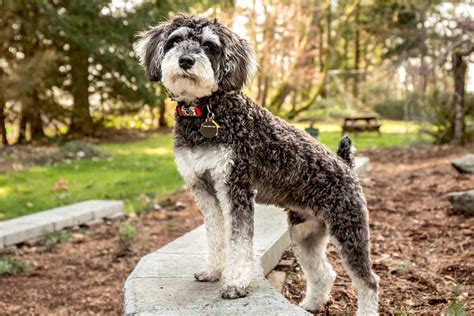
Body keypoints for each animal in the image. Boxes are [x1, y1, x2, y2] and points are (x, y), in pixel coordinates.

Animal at [135, 14, 380, 316]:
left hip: (349, 229)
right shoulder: (204, 190)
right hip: (304, 233)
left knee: (368, 282)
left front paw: (236, 284)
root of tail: (345, 164)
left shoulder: (235, 187)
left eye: (209, 45)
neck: (206, 113)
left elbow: (239, 241)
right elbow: (215, 234)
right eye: (175, 40)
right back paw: (310, 304)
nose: (186, 60)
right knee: (324, 273)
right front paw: (212, 271)